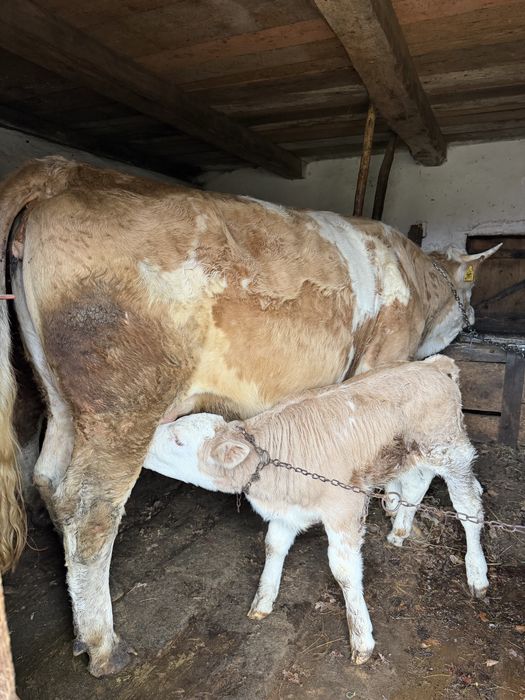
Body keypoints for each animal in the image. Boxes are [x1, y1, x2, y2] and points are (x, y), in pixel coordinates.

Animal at [143, 355, 489, 665]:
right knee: (417, 482)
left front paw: (361, 638)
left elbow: (344, 571)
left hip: (450, 452)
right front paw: (263, 599)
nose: (145, 444)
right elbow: (273, 546)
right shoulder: (287, 511)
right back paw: (400, 530)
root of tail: (433, 365)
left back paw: (476, 572)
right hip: (409, 455)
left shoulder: (344, 507)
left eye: (178, 440)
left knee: (470, 508)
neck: (273, 461)